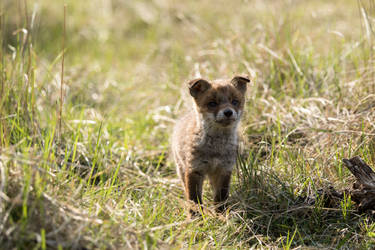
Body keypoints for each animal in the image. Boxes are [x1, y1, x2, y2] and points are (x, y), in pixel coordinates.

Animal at [173, 75, 250, 212]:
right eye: (212, 103)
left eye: (235, 101)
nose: (228, 112)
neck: (215, 149)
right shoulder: (194, 170)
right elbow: (194, 200)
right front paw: (196, 216)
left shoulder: (223, 170)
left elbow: (220, 198)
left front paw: (221, 214)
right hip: (181, 168)